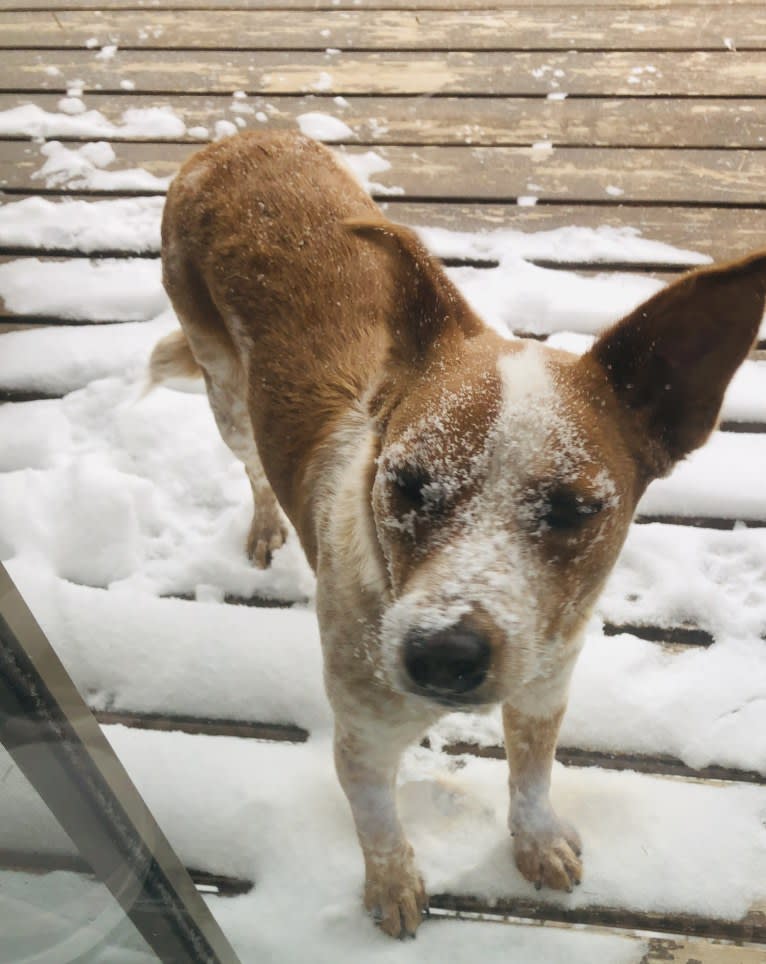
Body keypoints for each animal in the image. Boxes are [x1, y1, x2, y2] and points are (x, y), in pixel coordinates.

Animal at [154, 132, 766, 936]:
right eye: (406, 483)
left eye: (575, 508)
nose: (442, 654)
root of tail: (239, 140)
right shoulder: (363, 740)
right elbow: (379, 827)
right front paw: (391, 891)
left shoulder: (545, 685)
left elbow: (531, 776)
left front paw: (536, 842)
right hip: (224, 389)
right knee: (252, 462)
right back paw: (263, 528)